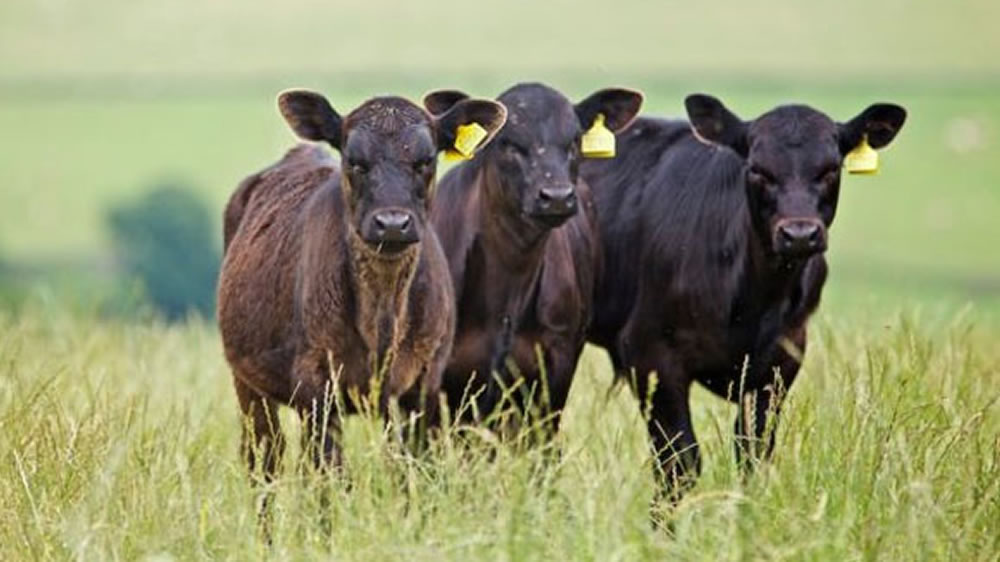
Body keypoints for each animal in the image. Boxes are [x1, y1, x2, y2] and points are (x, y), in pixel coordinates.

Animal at [584, 94, 912, 496]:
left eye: (830, 169)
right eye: (758, 170)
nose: (799, 234)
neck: (753, 303)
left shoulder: (779, 364)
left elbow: (753, 455)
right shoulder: (650, 355)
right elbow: (679, 462)